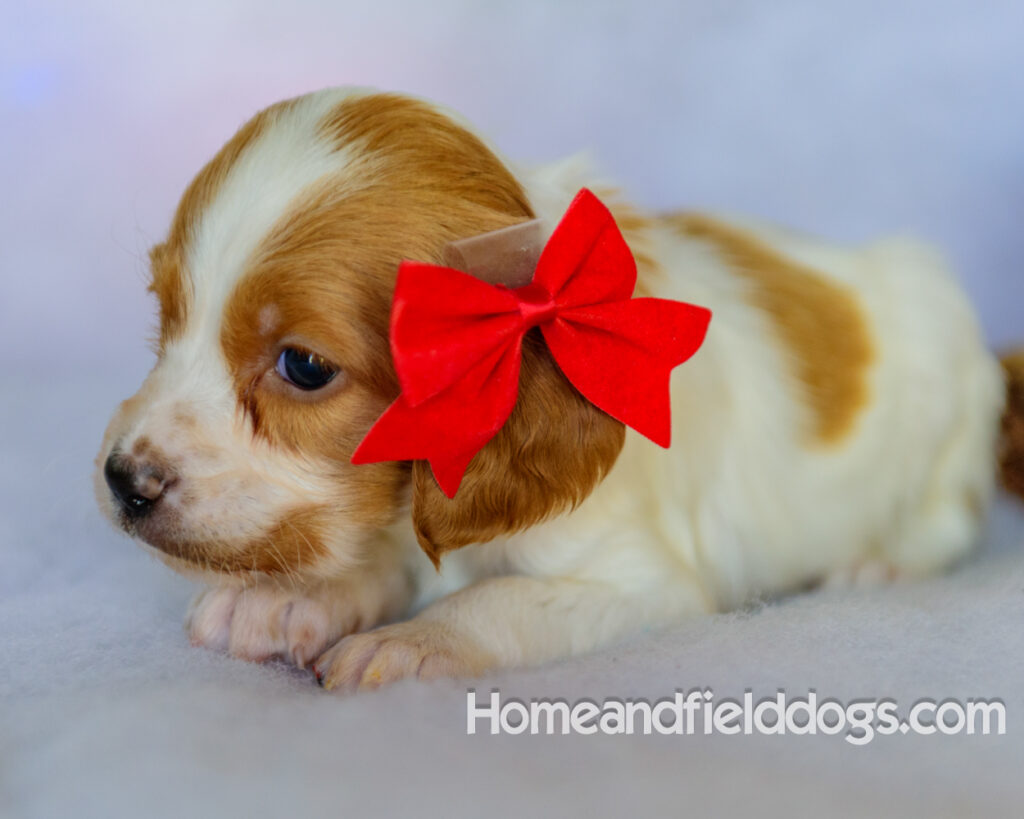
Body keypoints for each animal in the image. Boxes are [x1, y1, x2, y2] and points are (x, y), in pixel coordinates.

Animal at [94, 88, 1015, 692]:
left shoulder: (643, 581)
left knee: (945, 525)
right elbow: (385, 553)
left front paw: (412, 643)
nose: (121, 480)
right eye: (165, 314)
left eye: (304, 367)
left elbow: (498, 599)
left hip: (946, 435)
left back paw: (876, 566)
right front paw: (290, 602)